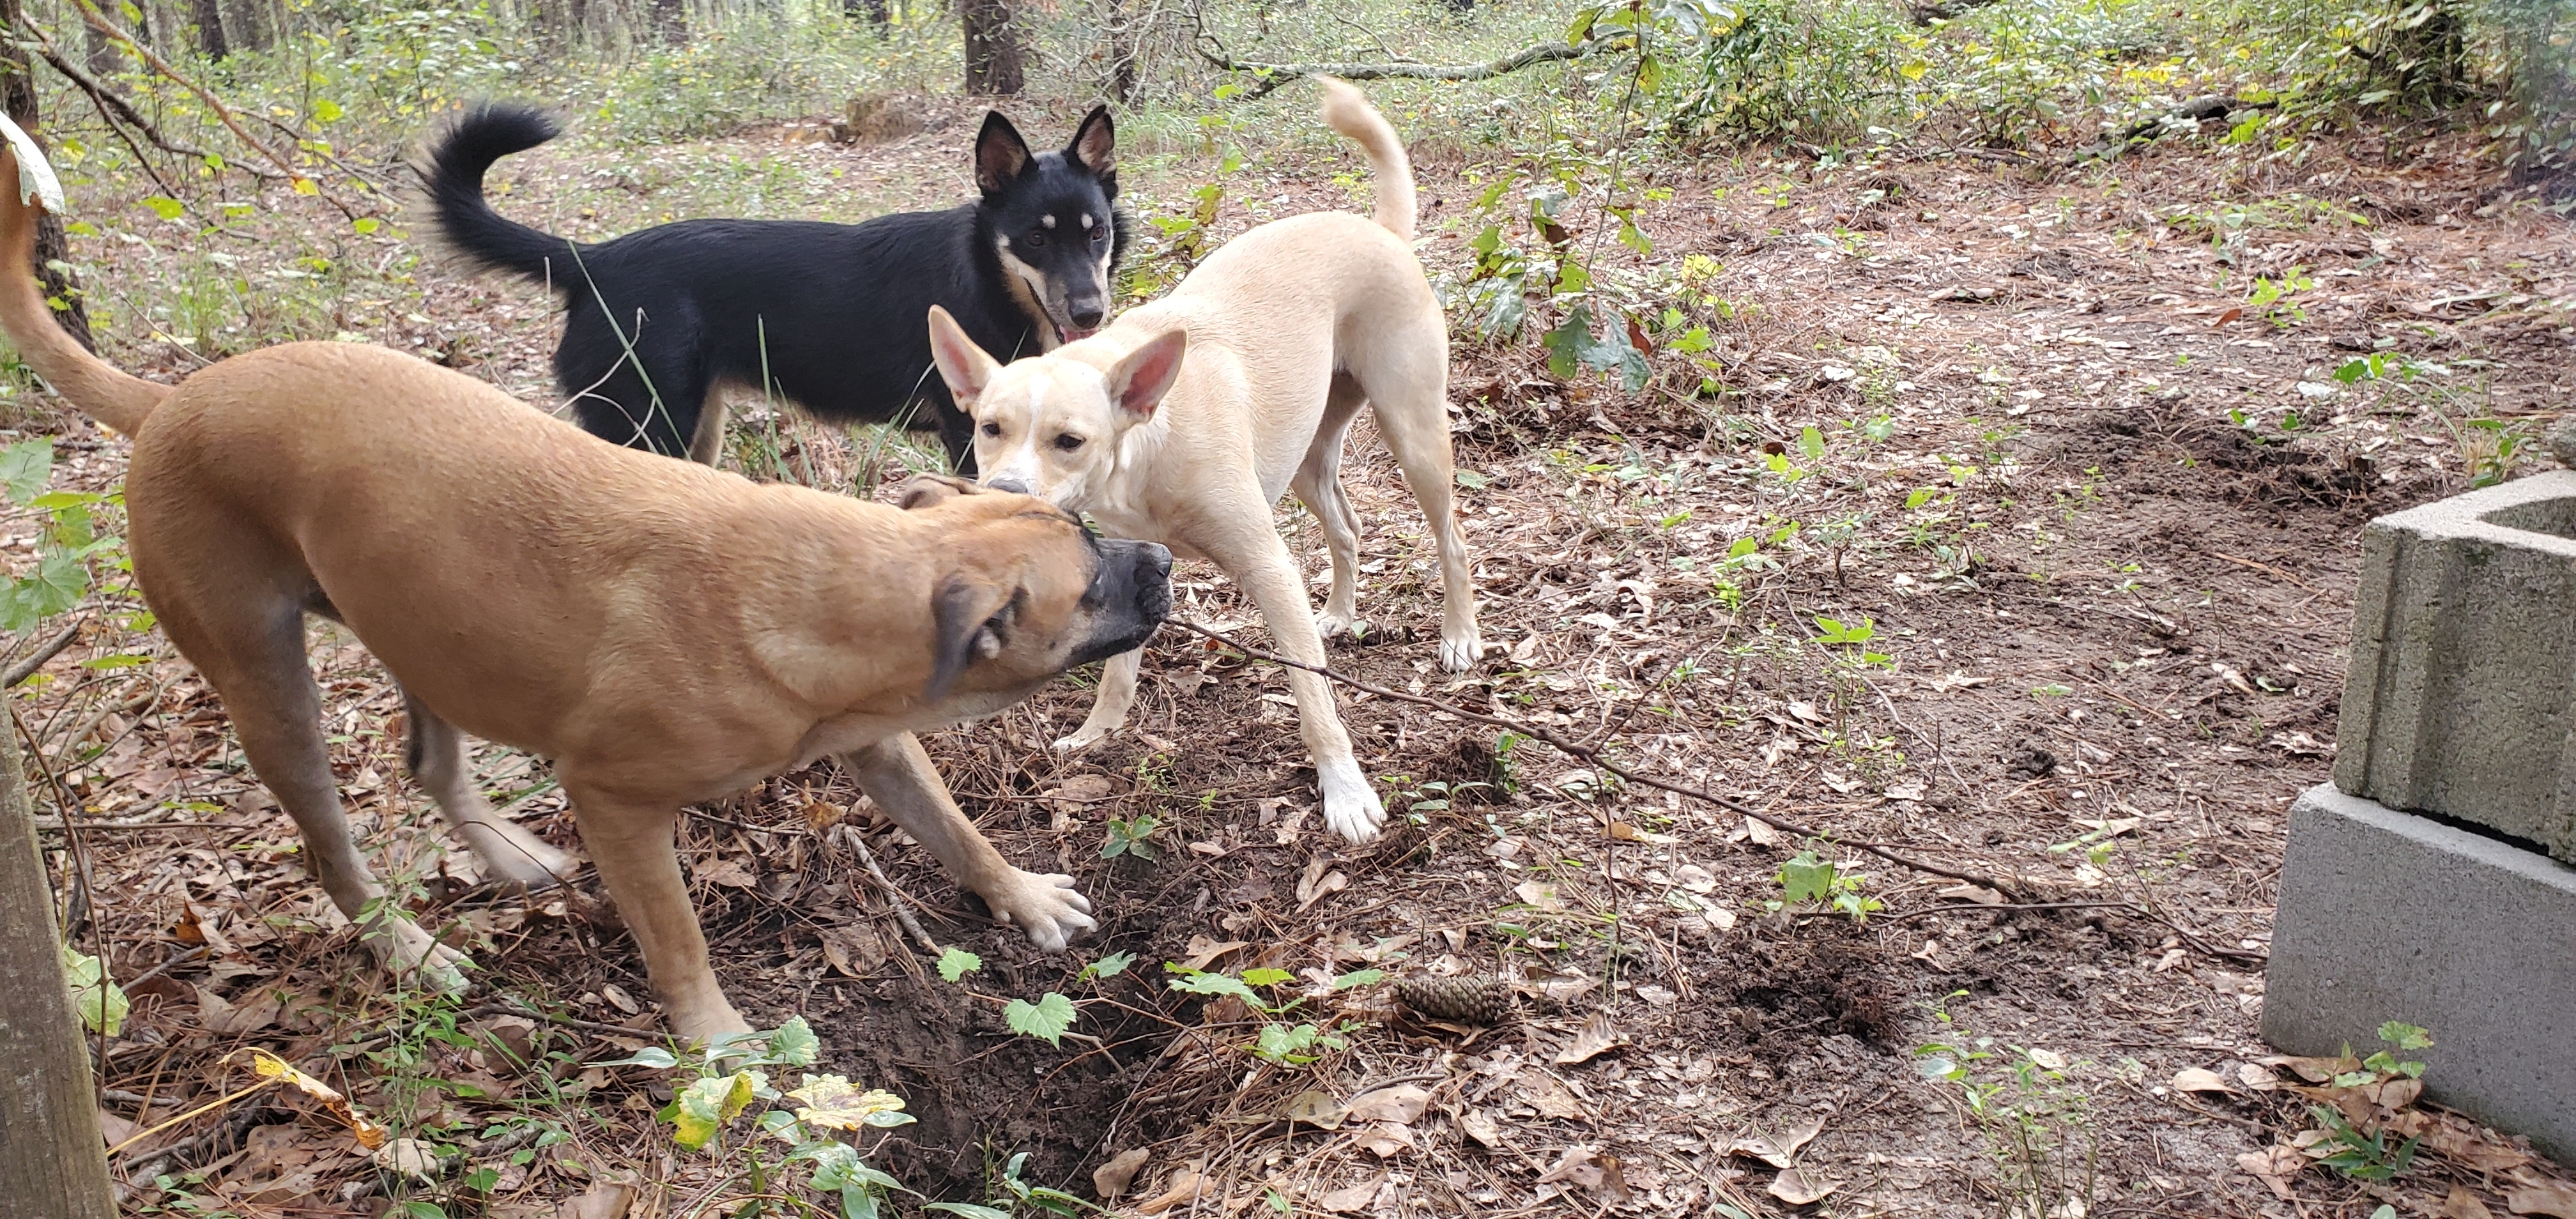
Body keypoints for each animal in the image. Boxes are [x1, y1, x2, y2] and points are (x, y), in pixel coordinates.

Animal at [0, 140, 1169, 1036]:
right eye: (1085, 587)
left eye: (1078, 518)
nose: (1158, 565)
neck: (818, 581)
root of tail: (170, 403)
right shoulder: (618, 804)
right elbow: (677, 935)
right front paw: (716, 1040)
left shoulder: (879, 741)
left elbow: (956, 828)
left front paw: (1017, 894)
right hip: (268, 682)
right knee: (331, 849)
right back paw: (406, 949)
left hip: (423, 623)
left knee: (429, 761)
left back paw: (506, 855)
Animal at [420, 103, 1128, 471]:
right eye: (1035, 240)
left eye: (1095, 234)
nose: (1090, 313)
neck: (984, 276)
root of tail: (589, 260)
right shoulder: (970, 438)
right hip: (646, 427)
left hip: (693, 432)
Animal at [937, 80, 1483, 845]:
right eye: (990, 429)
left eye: (1068, 441)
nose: (1005, 493)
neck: (1145, 447)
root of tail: (1378, 231)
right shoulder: (1133, 564)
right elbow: (1119, 671)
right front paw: (1098, 732)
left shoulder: (1267, 566)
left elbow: (1314, 698)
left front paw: (1345, 792)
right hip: (1307, 461)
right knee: (1347, 530)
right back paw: (1340, 614)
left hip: (1414, 436)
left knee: (1452, 540)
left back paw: (1460, 637)